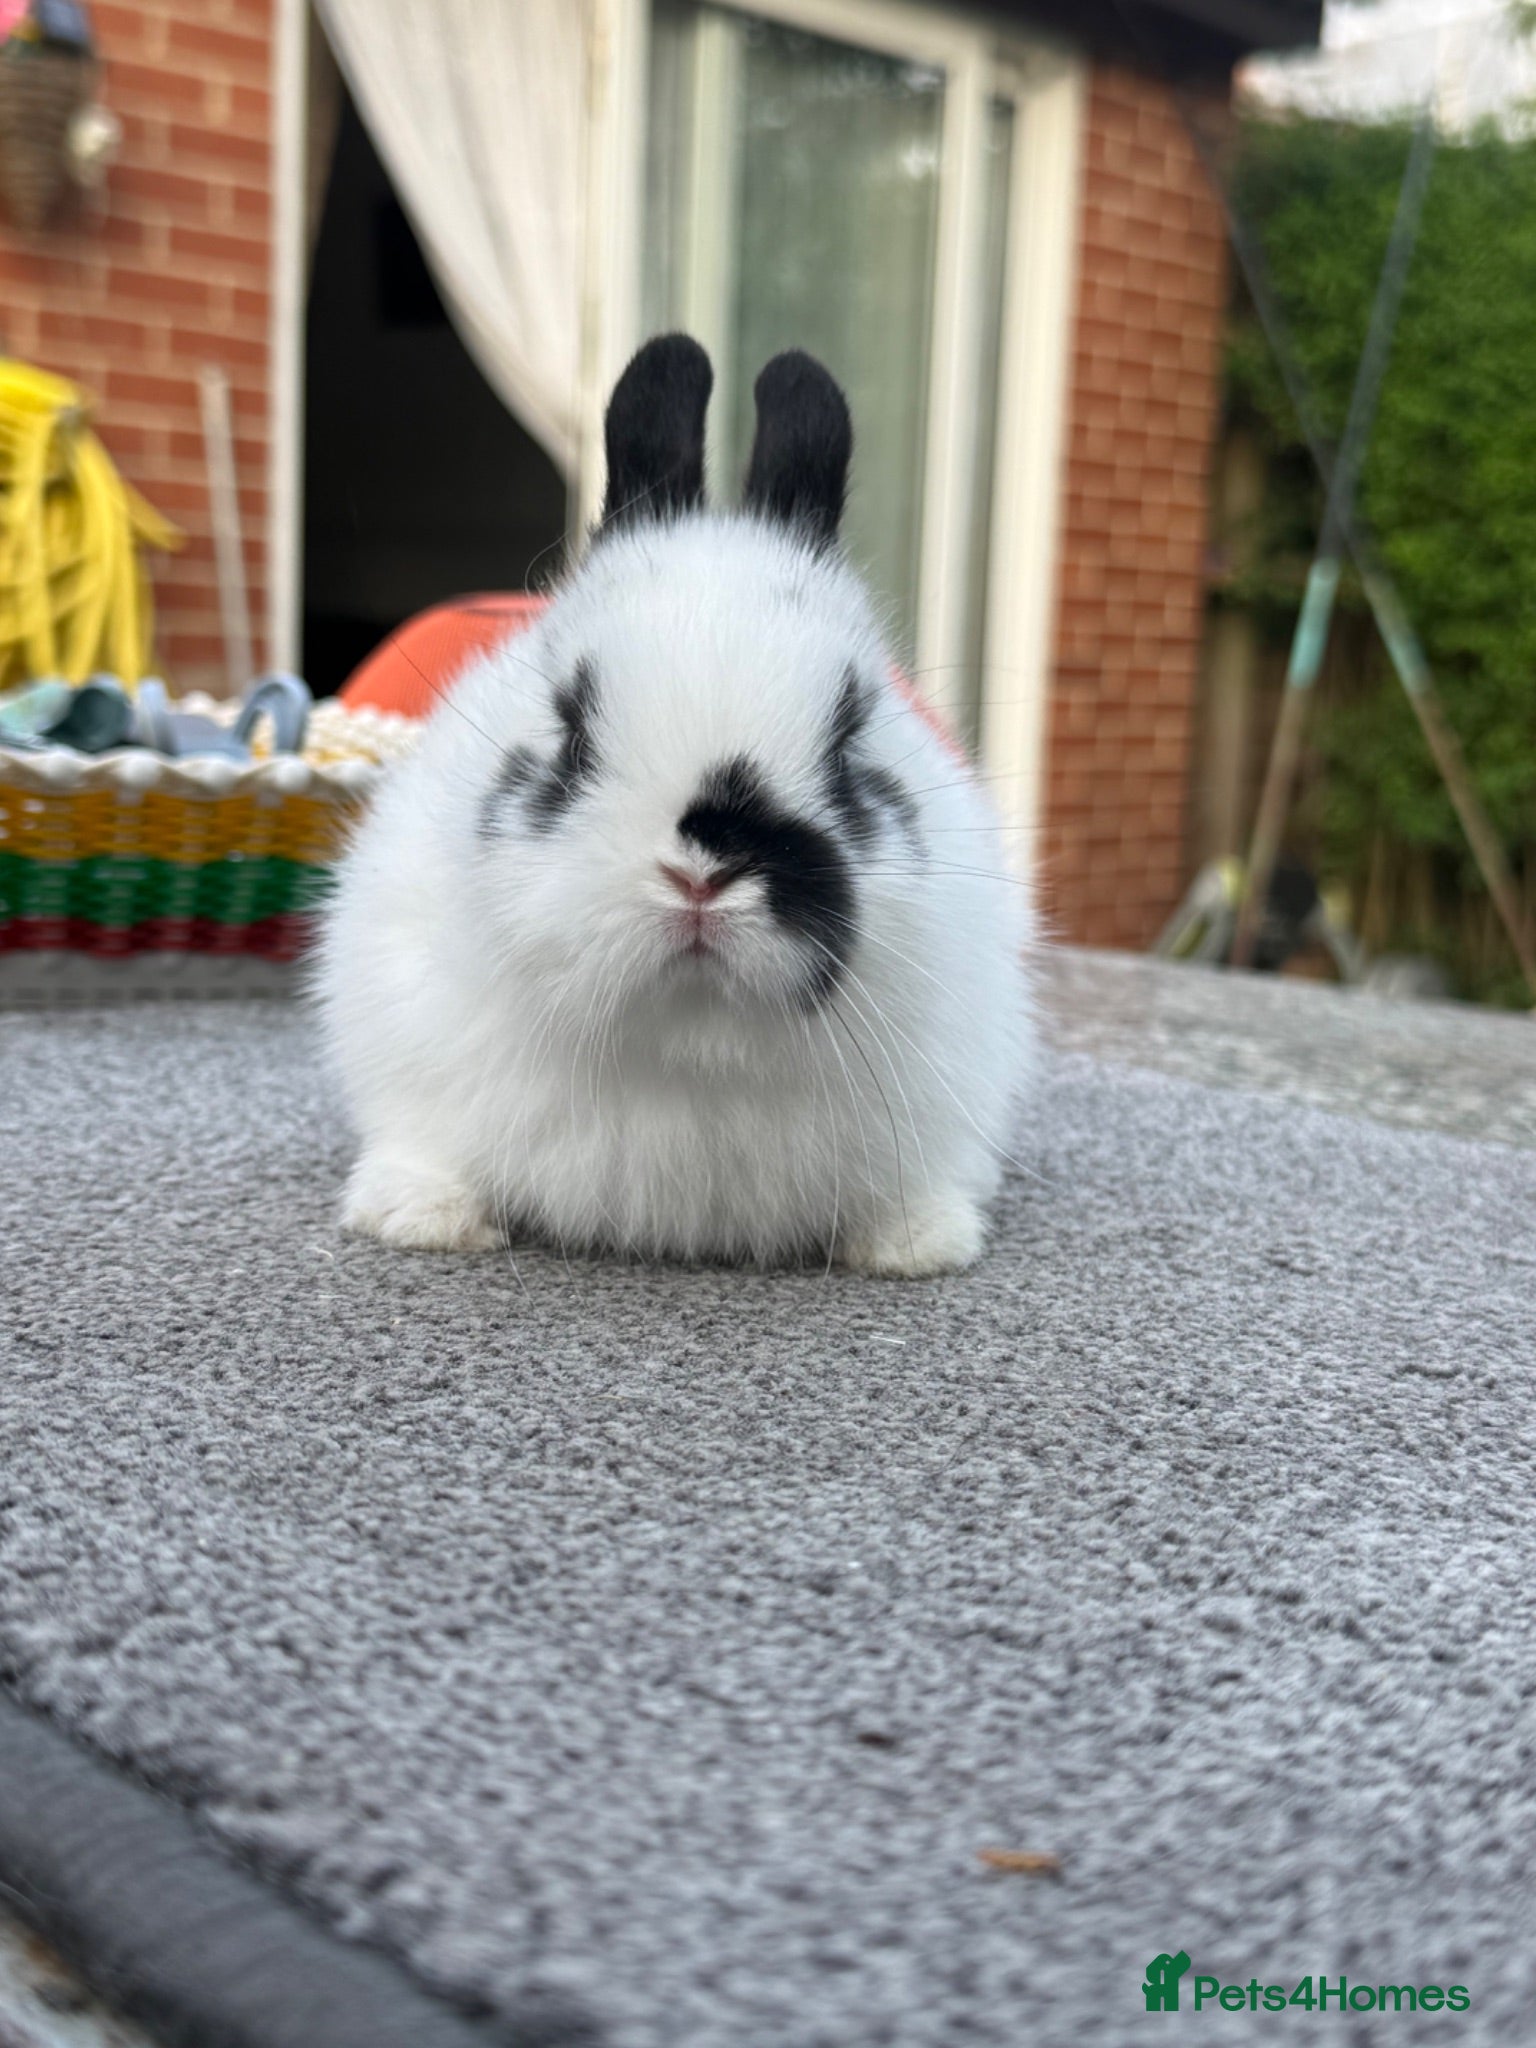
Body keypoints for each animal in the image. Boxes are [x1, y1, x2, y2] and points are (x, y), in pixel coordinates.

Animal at [315, 335, 1034, 1276]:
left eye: (848, 745)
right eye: (571, 731)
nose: (703, 874)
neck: (690, 1045)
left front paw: (919, 1245)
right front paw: (421, 1219)